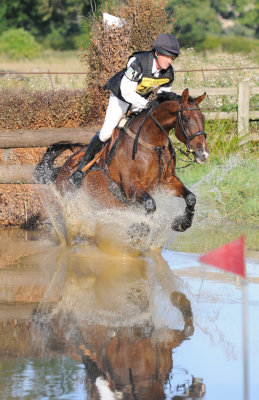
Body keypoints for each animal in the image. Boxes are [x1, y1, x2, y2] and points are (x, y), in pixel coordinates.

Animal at [34, 87, 209, 231]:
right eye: (185, 119)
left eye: (203, 118)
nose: (203, 154)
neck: (153, 145)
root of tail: (63, 168)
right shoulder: (131, 187)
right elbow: (150, 204)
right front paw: (140, 229)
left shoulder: (167, 181)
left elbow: (191, 198)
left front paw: (181, 223)